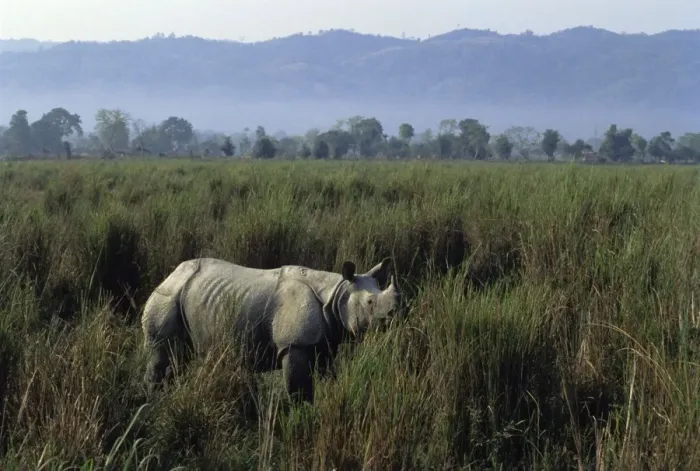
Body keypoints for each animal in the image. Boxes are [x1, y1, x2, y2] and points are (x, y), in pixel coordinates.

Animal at [141, 256, 400, 402]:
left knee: (178, 358)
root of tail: (170, 275)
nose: (392, 319)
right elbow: (298, 390)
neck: (336, 292)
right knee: (163, 353)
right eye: (370, 303)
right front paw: (302, 416)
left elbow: (326, 377)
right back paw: (152, 400)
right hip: (167, 296)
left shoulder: (325, 343)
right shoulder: (294, 343)